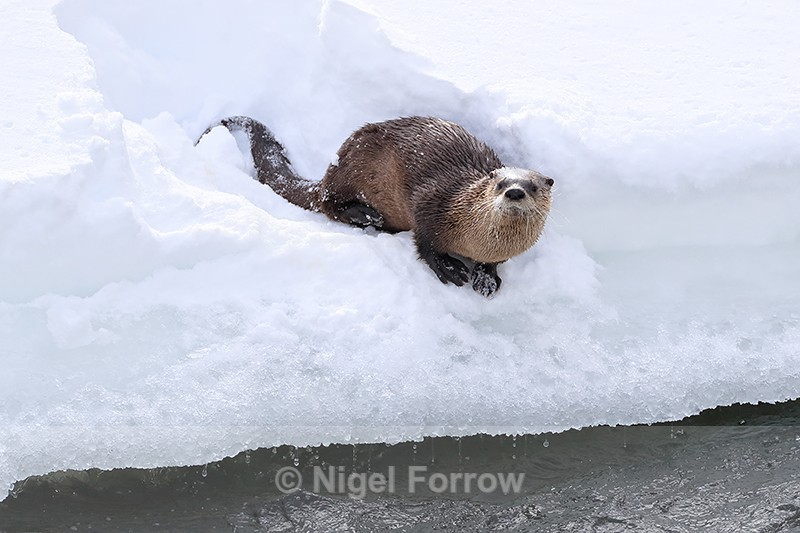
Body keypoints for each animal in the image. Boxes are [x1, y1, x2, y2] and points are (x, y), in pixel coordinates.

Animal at [197, 116, 553, 297]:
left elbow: (495, 264)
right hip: (354, 166)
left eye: (533, 186)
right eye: (500, 184)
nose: (515, 192)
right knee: (327, 202)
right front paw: (449, 268)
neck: (478, 240)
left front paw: (488, 277)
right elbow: (425, 242)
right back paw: (365, 215)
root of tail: (330, 169)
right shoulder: (433, 203)